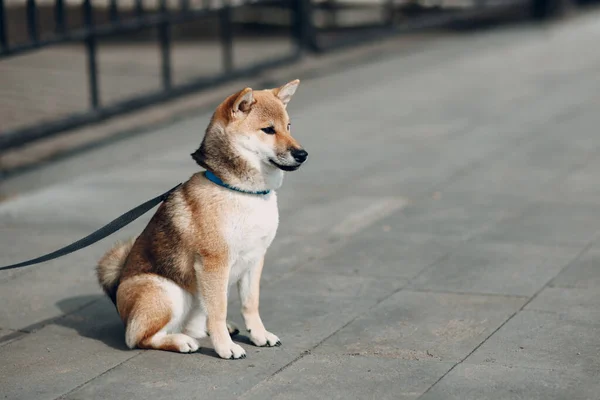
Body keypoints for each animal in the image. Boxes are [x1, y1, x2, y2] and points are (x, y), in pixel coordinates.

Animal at [97, 79, 310, 360]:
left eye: (288, 126)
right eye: (268, 130)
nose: (303, 154)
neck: (241, 191)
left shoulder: (255, 258)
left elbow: (250, 304)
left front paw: (259, 335)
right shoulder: (214, 263)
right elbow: (218, 310)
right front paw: (226, 348)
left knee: (193, 324)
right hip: (167, 292)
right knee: (138, 337)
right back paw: (180, 341)